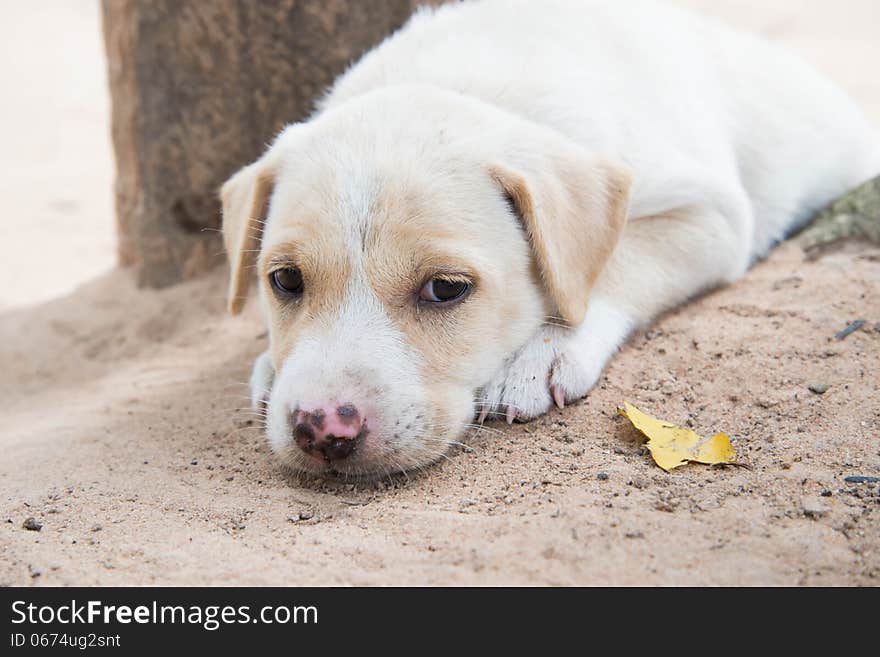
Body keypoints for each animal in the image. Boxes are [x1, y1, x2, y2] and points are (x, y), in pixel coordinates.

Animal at [222, 0, 880, 474]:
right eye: (285, 281)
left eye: (446, 289)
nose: (320, 430)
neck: (467, 83)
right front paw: (270, 363)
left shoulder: (711, 215)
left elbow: (614, 263)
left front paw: (542, 353)